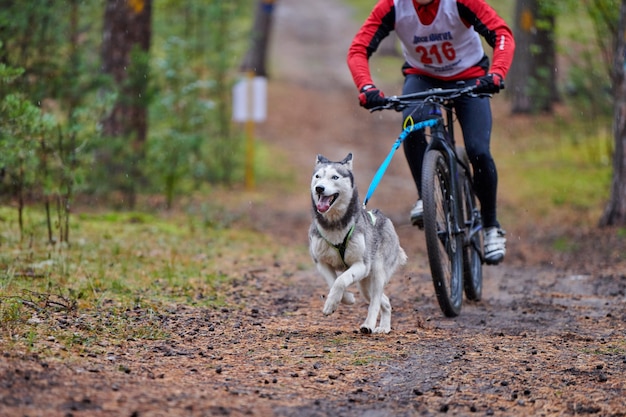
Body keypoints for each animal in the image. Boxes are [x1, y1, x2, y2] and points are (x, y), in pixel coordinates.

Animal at [306, 154, 404, 334]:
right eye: (317, 176)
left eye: (335, 177)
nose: (319, 188)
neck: (334, 225)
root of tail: (384, 218)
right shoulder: (321, 262)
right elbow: (333, 281)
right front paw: (346, 299)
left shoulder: (361, 264)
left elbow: (341, 280)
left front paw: (332, 303)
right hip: (364, 285)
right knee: (383, 300)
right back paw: (384, 327)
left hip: (377, 272)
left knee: (375, 301)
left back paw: (369, 325)